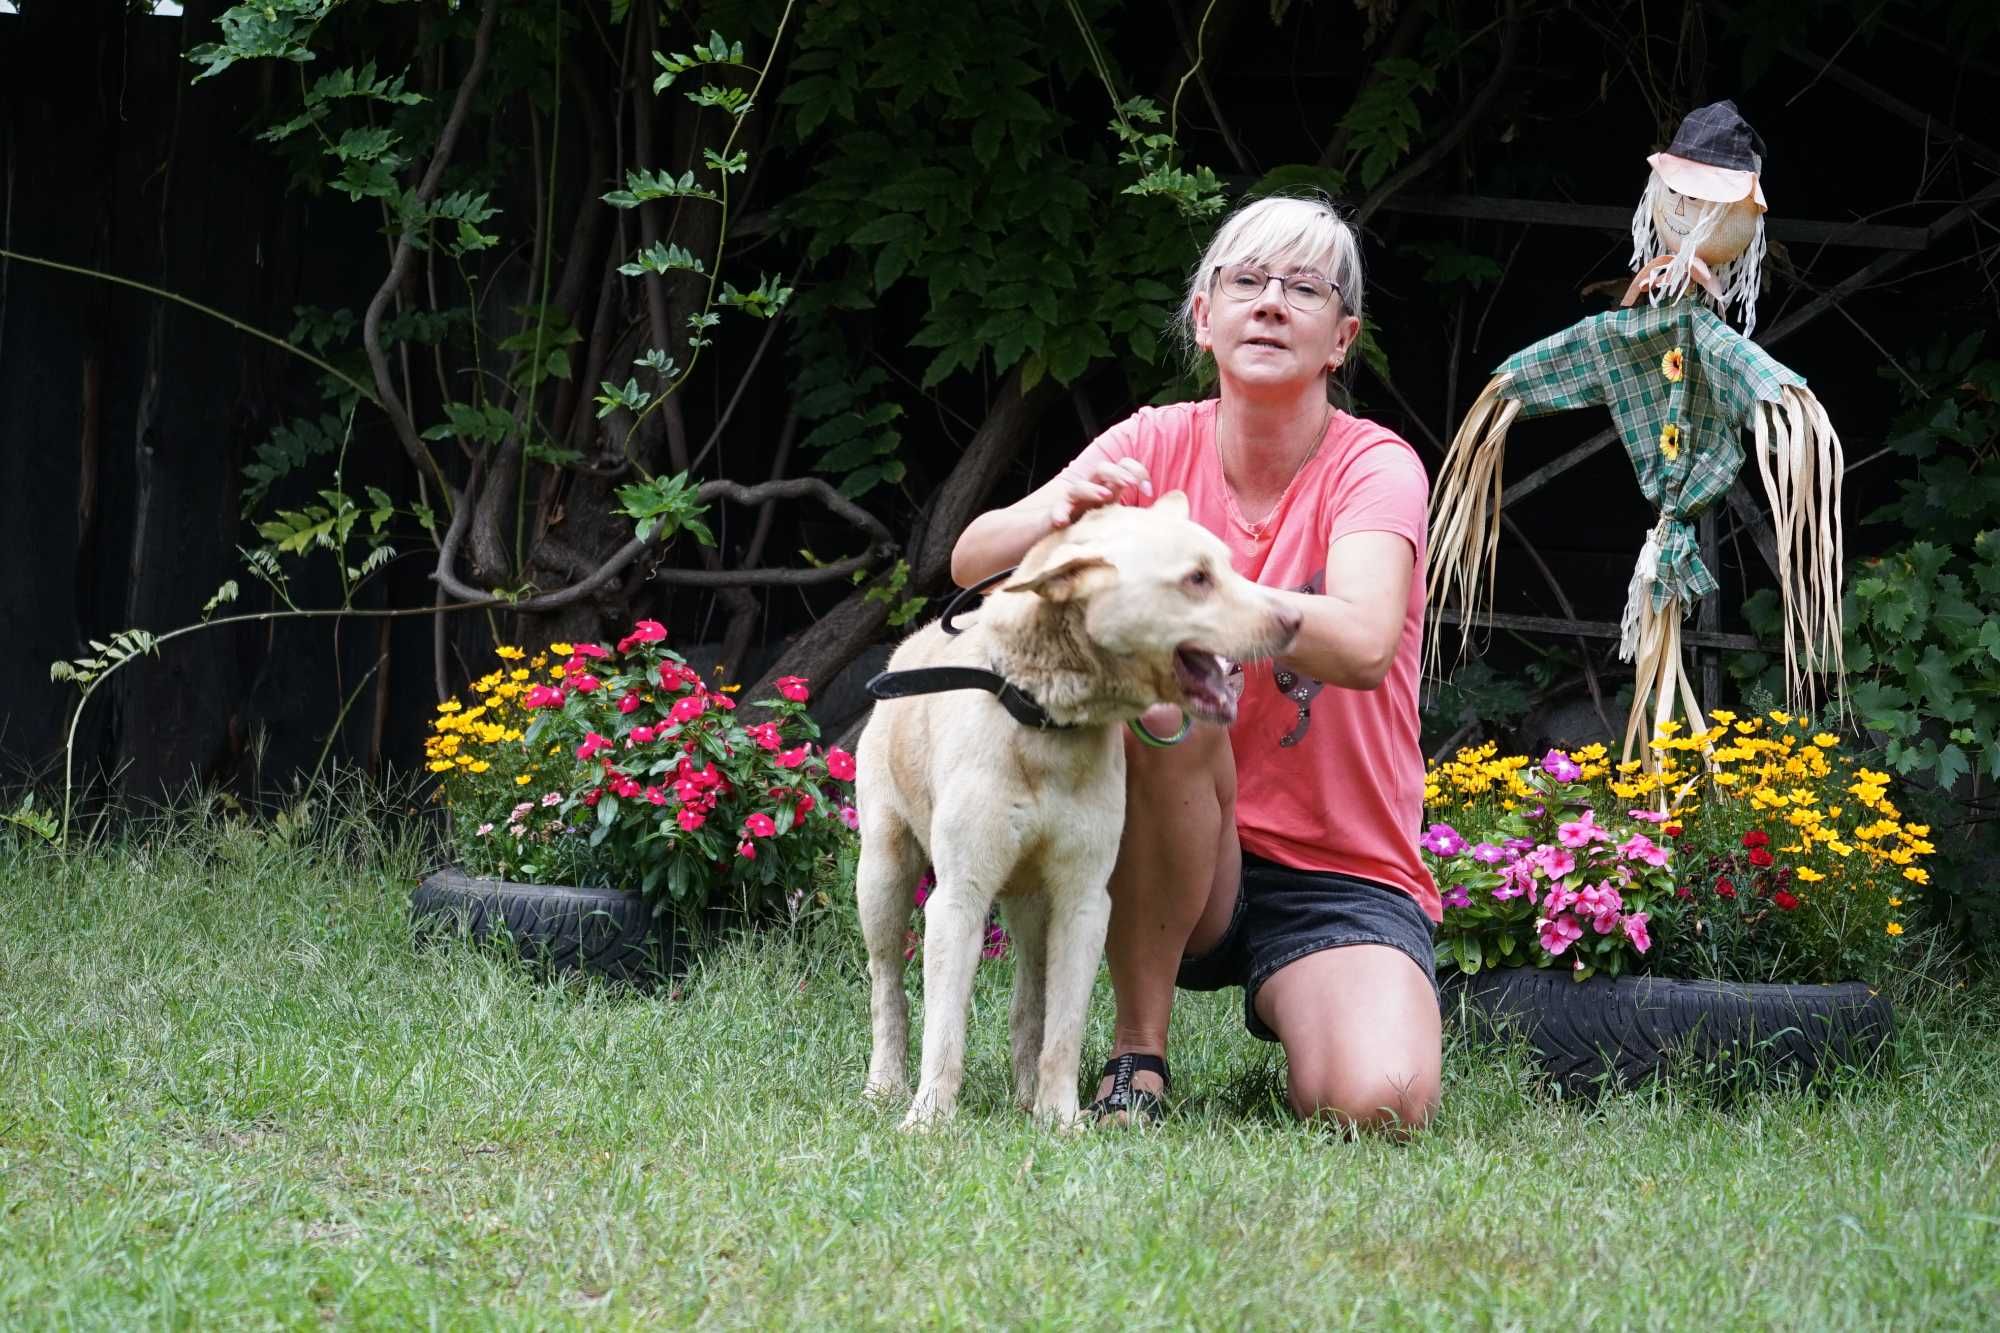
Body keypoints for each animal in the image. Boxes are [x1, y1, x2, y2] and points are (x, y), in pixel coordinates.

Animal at [852, 488, 1304, 1120]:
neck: (1043, 717)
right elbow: (944, 1028)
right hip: (883, 872)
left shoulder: (1083, 899)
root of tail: (908, 646)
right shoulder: (959, 897)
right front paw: (930, 1118)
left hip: (1030, 903)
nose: (1296, 619)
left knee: (1028, 1002)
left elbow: (1062, 1027)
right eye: (1196, 578)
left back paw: (1024, 1096)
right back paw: (886, 1085)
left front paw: (1061, 1119)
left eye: (1229, 568)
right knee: (886, 983)